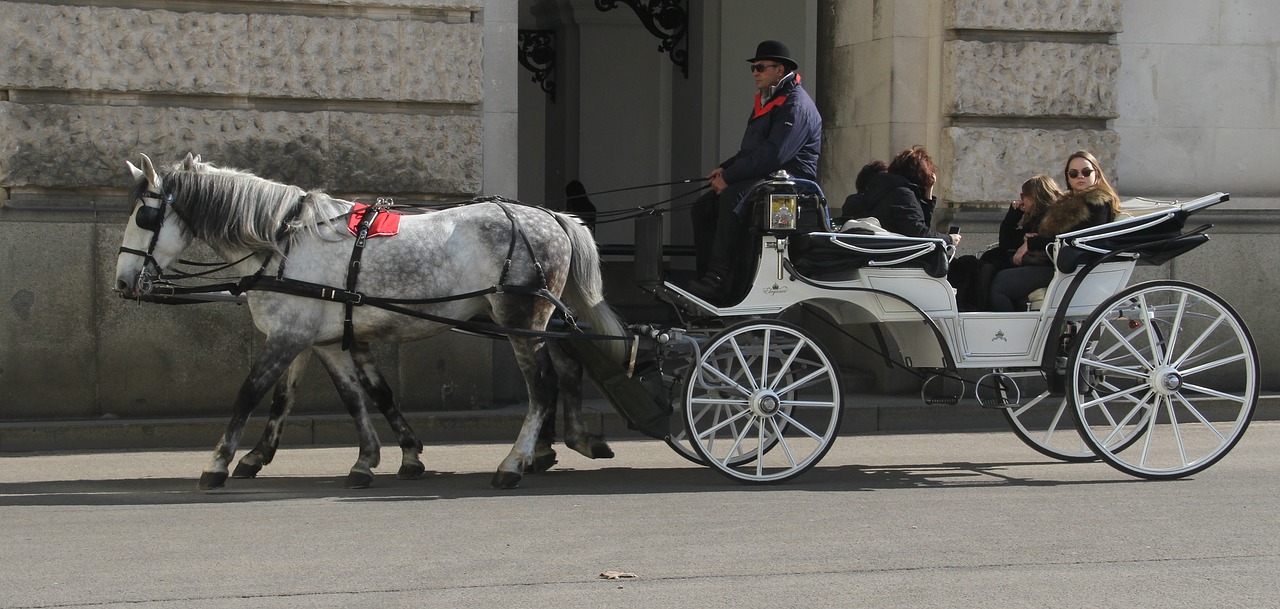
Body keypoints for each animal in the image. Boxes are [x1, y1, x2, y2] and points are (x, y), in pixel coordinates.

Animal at [115, 156, 624, 491]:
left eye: (145, 215)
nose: (122, 281)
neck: (284, 243)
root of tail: (551, 216)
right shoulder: (321, 339)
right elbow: (350, 396)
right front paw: (374, 458)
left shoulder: (288, 336)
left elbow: (250, 393)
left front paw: (219, 462)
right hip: (542, 320)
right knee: (566, 369)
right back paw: (565, 443)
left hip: (520, 318)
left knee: (542, 387)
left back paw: (514, 462)